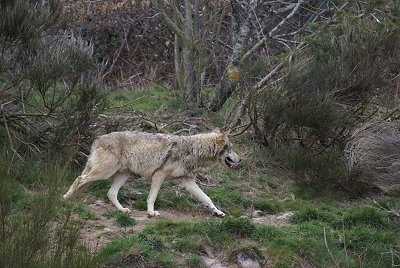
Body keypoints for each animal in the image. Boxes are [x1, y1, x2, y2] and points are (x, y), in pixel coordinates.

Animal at [63, 129, 241, 217]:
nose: (240, 159)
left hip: (122, 175)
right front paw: (150, 212)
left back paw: (122, 211)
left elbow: (207, 198)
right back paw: (66, 198)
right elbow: (152, 197)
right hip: (103, 173)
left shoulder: (188, 182)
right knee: (79, 178)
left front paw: (218, 212)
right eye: (231, 148)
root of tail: (97, 139)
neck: (193, 150)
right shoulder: (158, 175)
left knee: (110, 193)